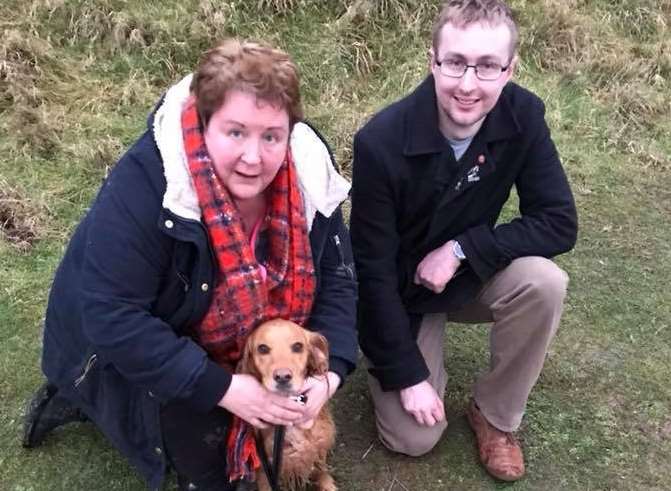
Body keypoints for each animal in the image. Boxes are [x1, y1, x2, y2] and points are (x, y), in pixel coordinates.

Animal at [239, 320, 338, 491]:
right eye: (262, 348)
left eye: (298, 346)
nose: (283, 376)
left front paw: (327, 484)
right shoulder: (265, 469)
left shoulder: (318, 445)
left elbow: (322, 471)